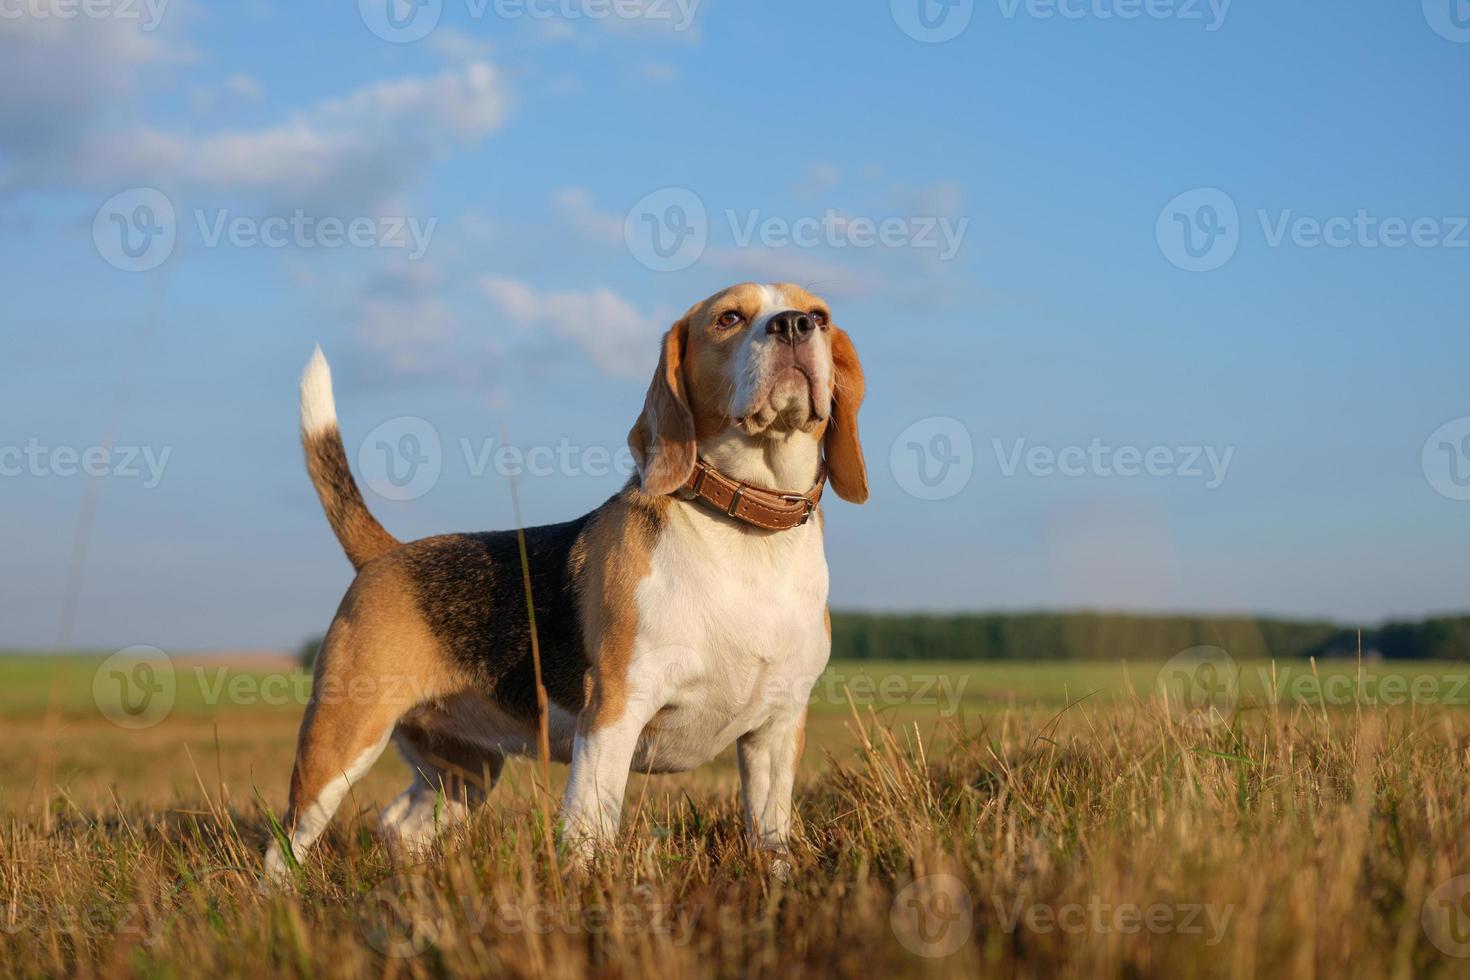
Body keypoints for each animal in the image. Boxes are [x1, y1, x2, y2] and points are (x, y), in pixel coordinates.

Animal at [264, 283, 858, 881]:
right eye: (729, 318)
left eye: (821, 317)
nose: (794, 325)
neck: (747, 536)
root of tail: (387, 553)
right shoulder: (615, 710)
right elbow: (590, 827)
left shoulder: (777, 729)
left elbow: (771, 830)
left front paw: (779, 882)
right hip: (340, 742)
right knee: (286, 841)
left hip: (464, 768)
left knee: (401, 824)